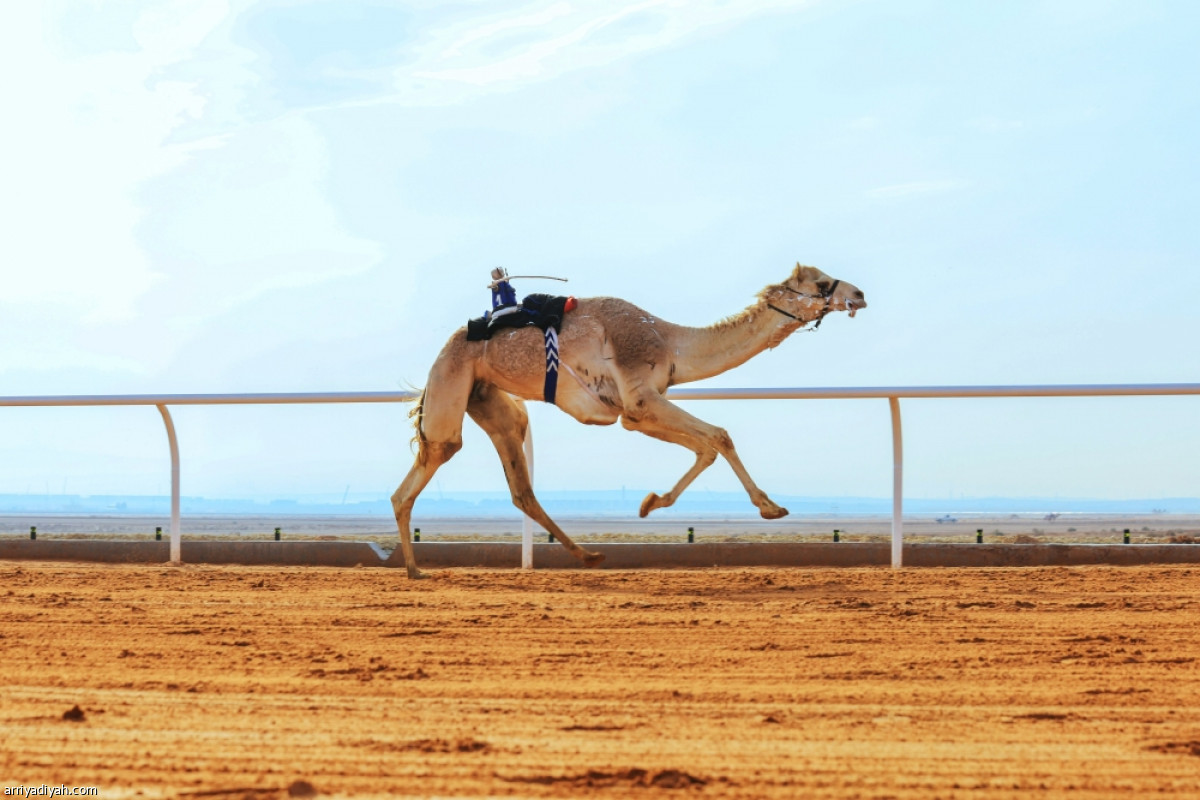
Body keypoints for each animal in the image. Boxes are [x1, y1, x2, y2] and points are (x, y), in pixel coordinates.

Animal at [388, 266, 868, 578]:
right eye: (821, 283)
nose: (860, 294)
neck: (670, 342)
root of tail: (443, 354)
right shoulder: (641, 395)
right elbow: (720, 436)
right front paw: (771, 507)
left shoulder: (635, 412)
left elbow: (705, 446)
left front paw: (650, 502)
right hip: (452, 384)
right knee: (435, 458)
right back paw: (415, 569)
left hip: (488, 399)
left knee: (516, 486)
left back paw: (586, 557)